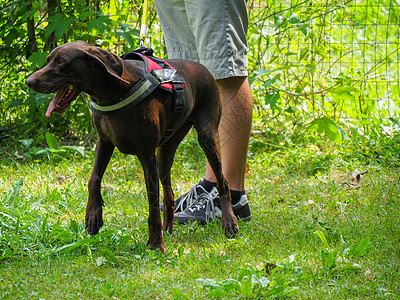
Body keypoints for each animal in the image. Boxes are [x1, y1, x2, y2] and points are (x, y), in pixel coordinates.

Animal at [27, 41, 238, 252]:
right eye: (48, 60)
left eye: (61, 61)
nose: (29, 81)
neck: (113, 91)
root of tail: (204, 69)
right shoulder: (105, 142)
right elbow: (93, 179)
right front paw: (93, 216)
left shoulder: (147, 156)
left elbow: (152, 203)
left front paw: (156, 243)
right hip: (165, 152)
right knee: (169, 195)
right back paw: (168, 230)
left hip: (207, 138)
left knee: (223, 183)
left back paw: (229, 222)